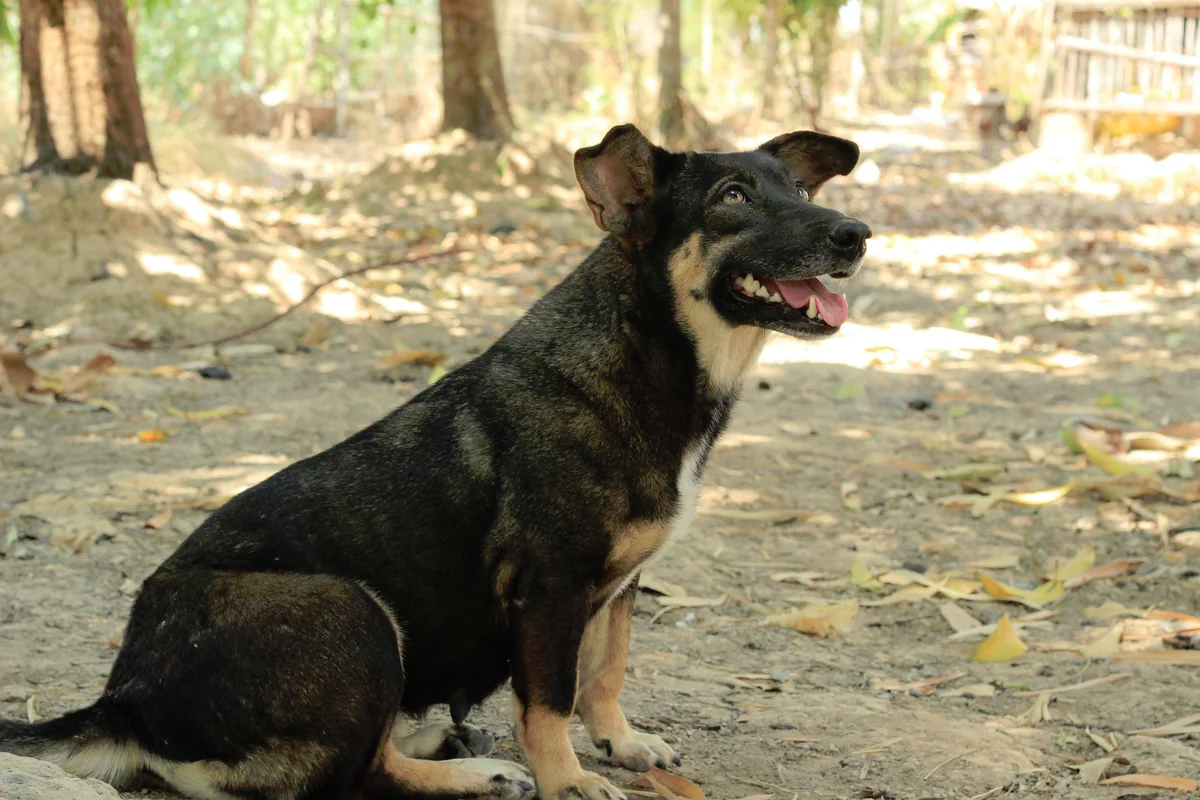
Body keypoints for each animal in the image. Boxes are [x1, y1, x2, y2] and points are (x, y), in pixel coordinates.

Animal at [0, 123, 873, 800]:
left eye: (798, 186)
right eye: (734, 197)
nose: (855, 235)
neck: (649, 351)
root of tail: (124, 702)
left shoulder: (617, 587)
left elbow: (606, 672)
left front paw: (621, 743)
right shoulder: (549, 589)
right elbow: (550, 700)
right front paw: (567, 777)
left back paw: (437, 743)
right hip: (354, 613)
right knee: (353, 775)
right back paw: (472, 773)